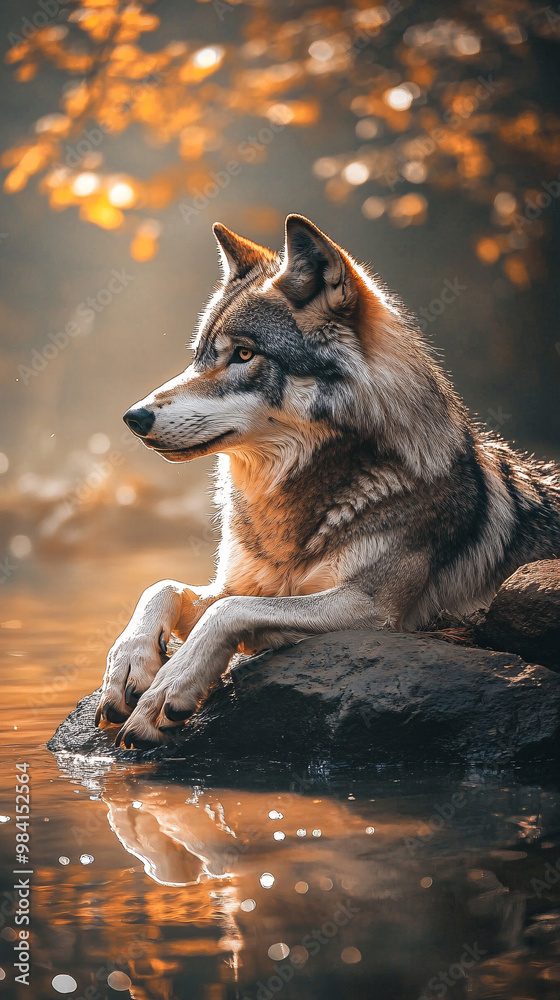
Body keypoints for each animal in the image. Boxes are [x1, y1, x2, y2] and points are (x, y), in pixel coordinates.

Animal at [95, 214, 560, 748]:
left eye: (243, 354)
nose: (134, 417)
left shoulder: (373, 609)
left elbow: (226, 612)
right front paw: (129, 665)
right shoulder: (239, 581)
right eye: (198, 357)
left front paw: (168, 689)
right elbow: (163, 586)